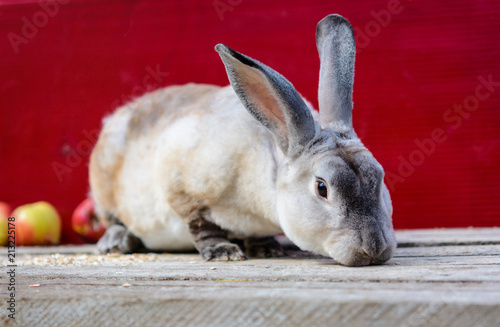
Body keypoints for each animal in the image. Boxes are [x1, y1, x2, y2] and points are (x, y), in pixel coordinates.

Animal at [89, 14, 394, 268]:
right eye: (322, 188)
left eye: (379, 177)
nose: (375, 249)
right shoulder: (181, 187)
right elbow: (201, 225)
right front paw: (223, 252)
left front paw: (267, 249)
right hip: (105, 189)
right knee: (113, 219)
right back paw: (115, 242)